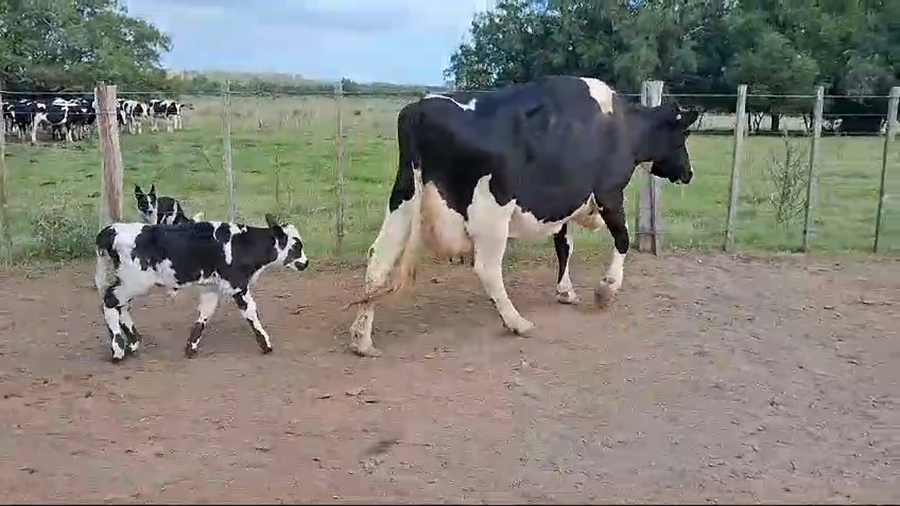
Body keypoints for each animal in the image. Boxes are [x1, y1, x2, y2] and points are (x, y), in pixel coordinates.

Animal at [94, 213, 310, 363]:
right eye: (296, 246)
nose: (306, 262)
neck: (242, 244)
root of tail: (112, 229)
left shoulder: (212, 287)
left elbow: (205, 313)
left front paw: (191, 346)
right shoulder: (238, 285)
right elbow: (251, 312)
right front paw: (266, 345)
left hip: (128, 282)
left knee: (121, 306)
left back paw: (133, 341)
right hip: (134, 281)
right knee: (110, 301)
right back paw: (118, 349)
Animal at [346, 75, 699, 357]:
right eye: (683, 137)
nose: (689, 173)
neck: (623, 125)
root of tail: (421, 109)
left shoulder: (561, 202)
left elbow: (564, 245)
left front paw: (566, 292)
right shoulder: (609, 193)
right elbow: (622, 240)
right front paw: (605, 290)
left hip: (403, 201)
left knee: (378, 259)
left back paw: (362, 339)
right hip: (491, 214)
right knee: (487, 268)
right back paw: (516, 322)